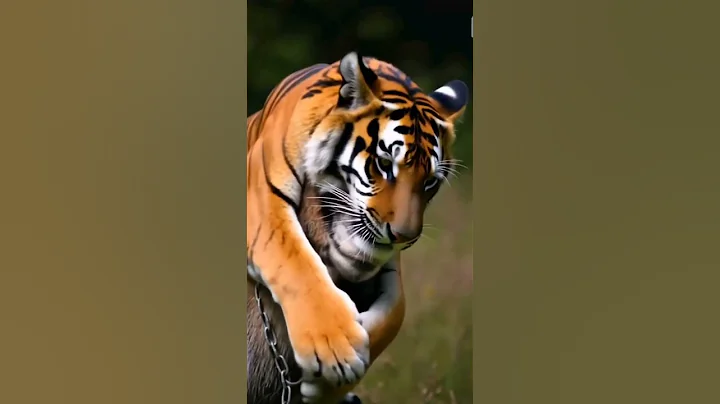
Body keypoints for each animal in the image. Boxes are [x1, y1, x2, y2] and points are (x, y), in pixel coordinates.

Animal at [247, 51, 468, 403]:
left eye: (430, 181)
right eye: (384, 164)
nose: (404, 235)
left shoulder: (389, 264)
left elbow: (396, 313)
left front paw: (326, 386)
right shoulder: (262, 198)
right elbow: (296, 262)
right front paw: (336, 352)